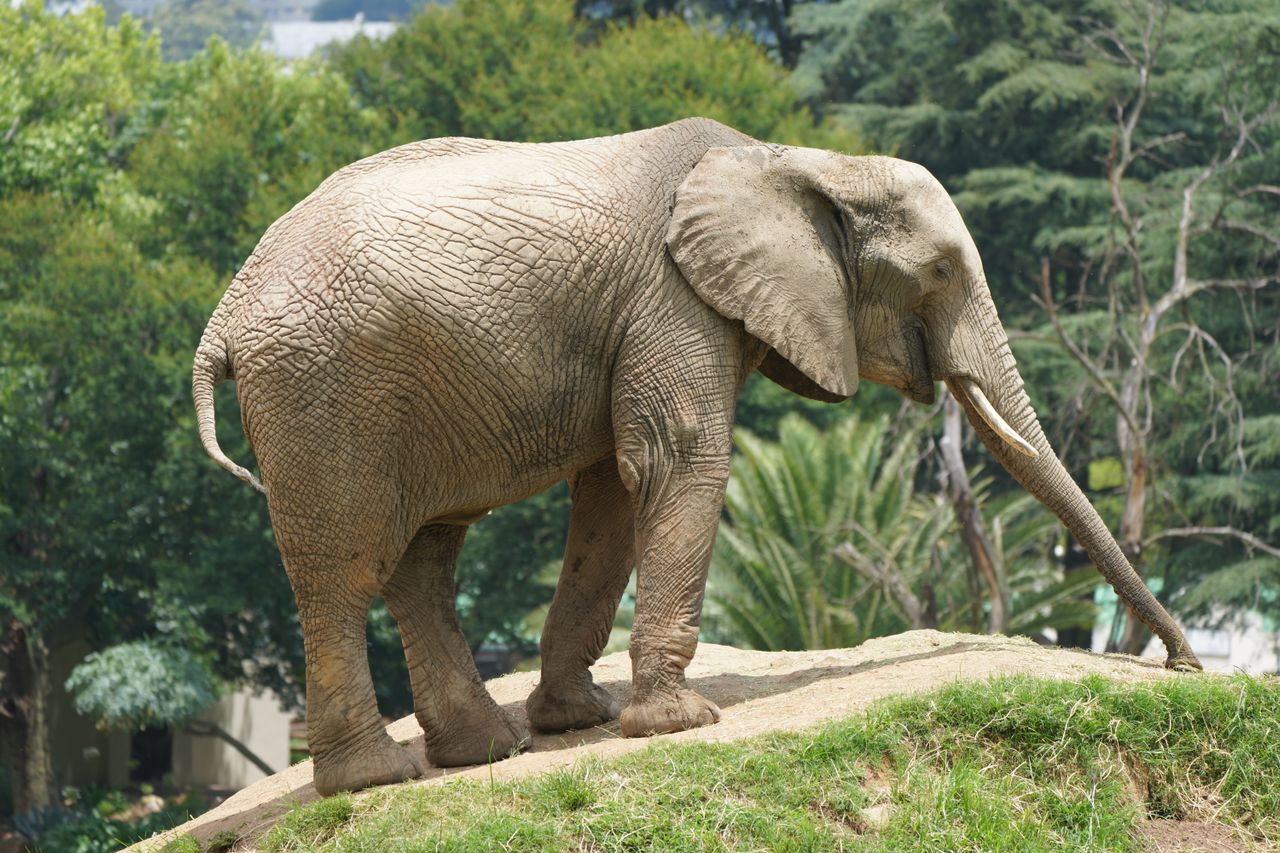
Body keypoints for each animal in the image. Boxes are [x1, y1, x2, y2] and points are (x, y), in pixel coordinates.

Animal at [192, 117, 1201, 796]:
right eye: (943, 272)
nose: (1184, 666)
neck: (794, 159)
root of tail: (223, 315)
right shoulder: (675, 298)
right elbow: (677, 461)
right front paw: (678, 724)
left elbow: (611, 491)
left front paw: (585, 722)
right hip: (325, 394)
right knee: (345, 569)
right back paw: (377, 778)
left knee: (424, 555)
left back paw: (487, 751)